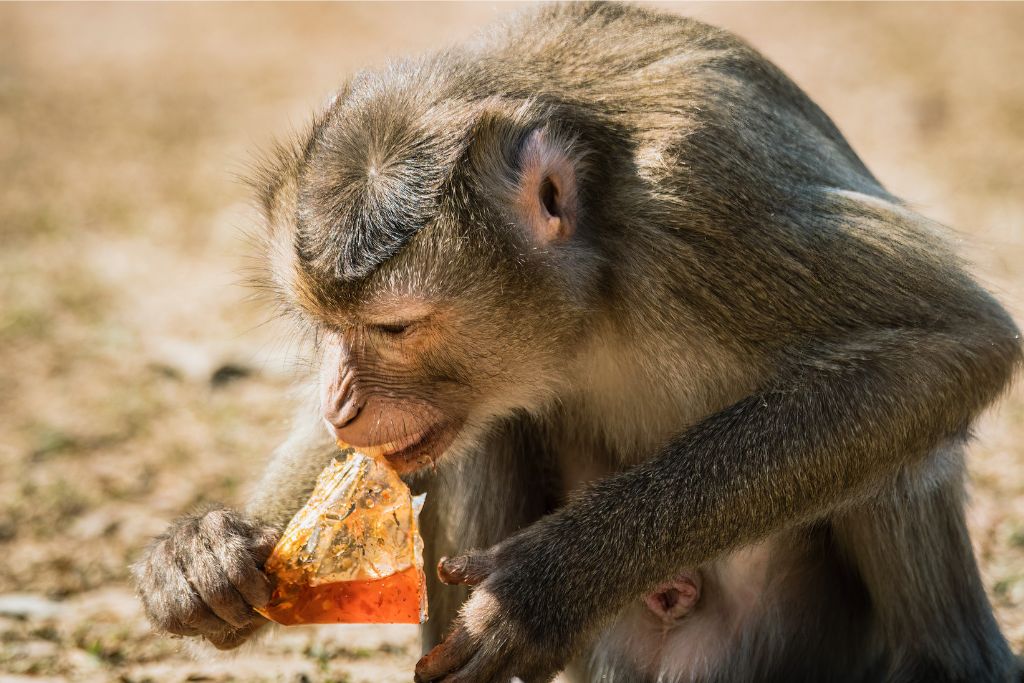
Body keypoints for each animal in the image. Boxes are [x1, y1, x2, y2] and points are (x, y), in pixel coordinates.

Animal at [132, 5, 1019, 683]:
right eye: (327, 328)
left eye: (393, 329)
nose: (339, 403)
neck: (594, 291)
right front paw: (207, 556)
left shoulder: (707, 202)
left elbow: (952, 341)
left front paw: (545, 587)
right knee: (481, 441)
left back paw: (949, 662)